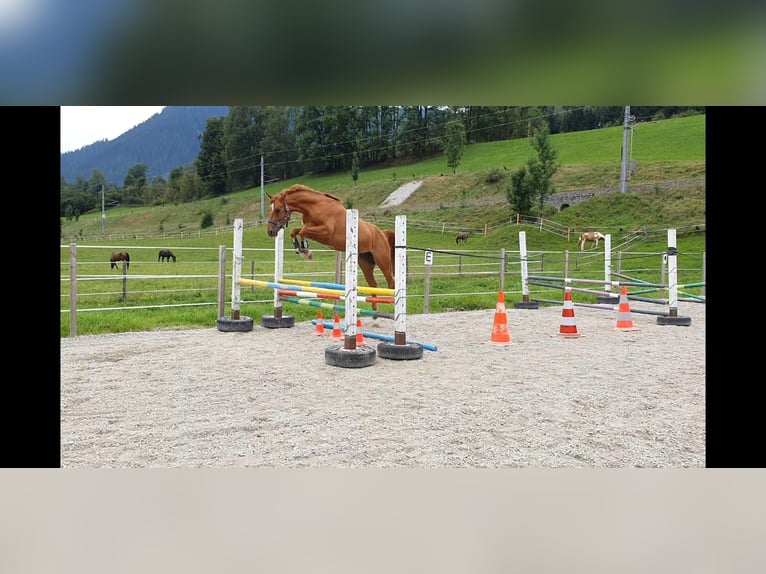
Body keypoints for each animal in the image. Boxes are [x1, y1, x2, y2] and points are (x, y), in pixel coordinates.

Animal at [266, 184, 396, 309]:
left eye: (277, 210)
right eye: (270, 209)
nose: (270, 232)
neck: (315, 207)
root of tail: (382, 233)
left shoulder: (325, 232)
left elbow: (303, 231)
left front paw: (306, 251)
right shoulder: (311, 227)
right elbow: (295, 231)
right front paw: (301, 249)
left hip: (382, 261)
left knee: (391, 283)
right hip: (365, 263)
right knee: (373, 284)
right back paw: (374, 309)